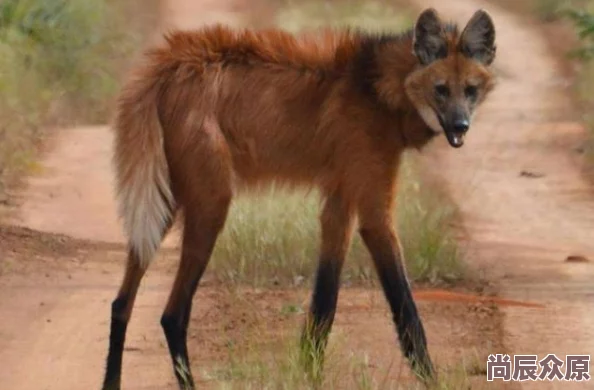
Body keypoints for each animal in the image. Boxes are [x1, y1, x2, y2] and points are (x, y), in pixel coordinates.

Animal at [103, 7, 494, 388]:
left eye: (469, 90)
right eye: (441, 90)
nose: (460, 126)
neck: (378, 88)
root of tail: (170, 62)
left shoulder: (339, 199)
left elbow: (324, 302)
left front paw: (310, 372)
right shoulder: (372, 207)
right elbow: (406, 308)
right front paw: (430, 377)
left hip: (162, 203)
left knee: (121, 302)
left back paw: (111, 380)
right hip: (210, 203)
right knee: (172, 314)